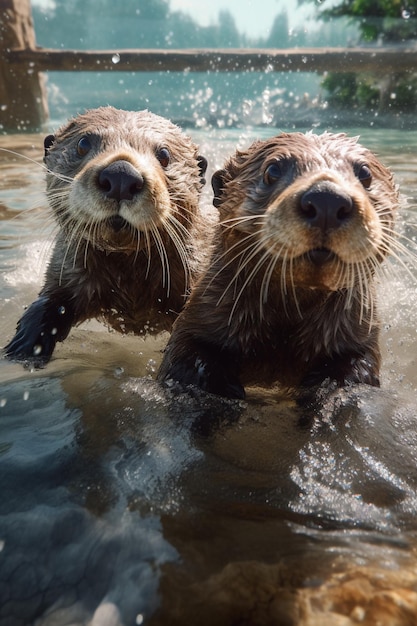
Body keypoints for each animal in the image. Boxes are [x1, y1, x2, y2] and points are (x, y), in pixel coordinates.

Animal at [2, 105, 206, 364]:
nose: (121, 175)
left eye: (164, 154)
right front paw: (24, 347)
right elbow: (49, 304)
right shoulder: (68, 269)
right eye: (83, 143)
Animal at [158, 130, 398, 400]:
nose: (326, 199)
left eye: (365, 173)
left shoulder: (357, 332)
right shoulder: (204, 312)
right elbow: (189, 357)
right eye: (272, 170)